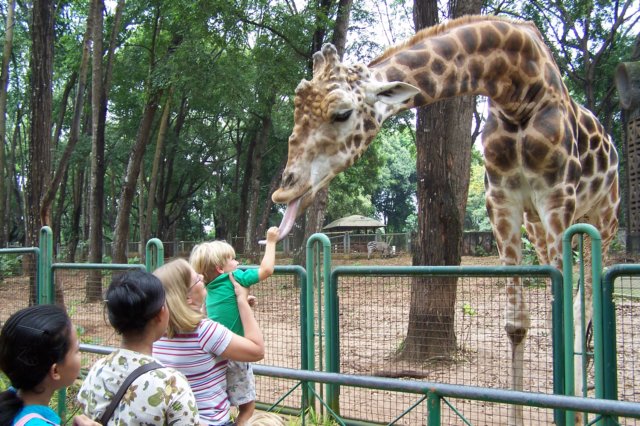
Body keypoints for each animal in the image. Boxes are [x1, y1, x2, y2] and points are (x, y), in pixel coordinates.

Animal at [272, 15, 620, 423]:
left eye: (341, 113)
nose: (285, 191)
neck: (520, 90)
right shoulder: (502, 202)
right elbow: (516, 324)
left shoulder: (556, 198)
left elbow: (566, 317)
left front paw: (574, 410)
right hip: (538, 225)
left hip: (601, 220)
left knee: (585, 304)